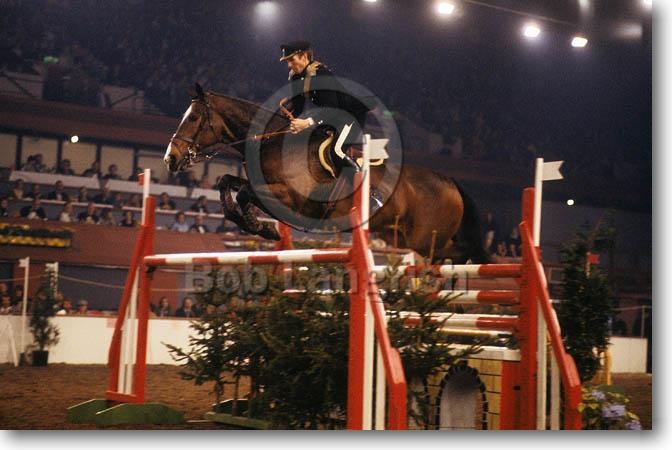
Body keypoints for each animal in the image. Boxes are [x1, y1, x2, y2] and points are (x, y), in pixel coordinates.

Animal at [164, 84, 488, 264]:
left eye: (193, 118)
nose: (170, 159)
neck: (273, 142)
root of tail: (450, 182)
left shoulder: (291, 198)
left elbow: (243, 192)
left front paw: (261, 228)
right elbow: (226, 182)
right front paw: (256, 226)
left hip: (425, 240)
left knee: (456, 252)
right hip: (402, 237)